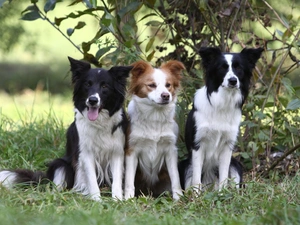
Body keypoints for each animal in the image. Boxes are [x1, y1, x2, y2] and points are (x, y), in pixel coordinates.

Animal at [123, 60, 184, 200]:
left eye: (168, 85)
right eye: (151, 85)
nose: (166, 95)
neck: (155, 116)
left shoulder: (170, 149)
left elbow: (175, 178)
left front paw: (178, 197)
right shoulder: (132, 150)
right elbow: (129, 180)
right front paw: (128, 199)